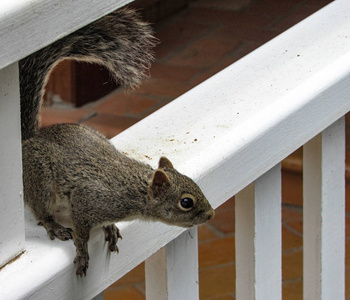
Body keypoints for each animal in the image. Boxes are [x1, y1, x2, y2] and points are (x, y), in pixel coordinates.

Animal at [21, 7, 216, 278]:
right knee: (40, 207)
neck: (134, 188)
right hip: (39, 175)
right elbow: (81, 233)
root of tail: (29, 140)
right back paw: (53, 225)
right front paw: (82, 254)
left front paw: (110, 227)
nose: (211, 214)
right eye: (186, 202)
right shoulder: (87, 199)